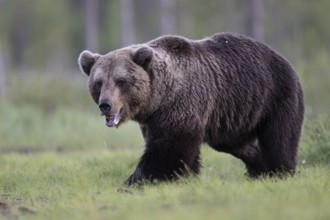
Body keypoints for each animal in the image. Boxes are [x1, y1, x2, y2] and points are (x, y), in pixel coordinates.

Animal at [77, 32, 304, 186]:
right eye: (98, 83)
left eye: (121, 81)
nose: (105, 104)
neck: (159, 98)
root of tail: (283, 58)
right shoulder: (152, 120)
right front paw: (188, 178)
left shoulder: (182, 105)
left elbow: (169, 148)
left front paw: (133, 182)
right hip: (233, 116)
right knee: (238, 144)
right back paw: (258, 169)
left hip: (275, 96)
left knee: (279, 138)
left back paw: (280, 171)